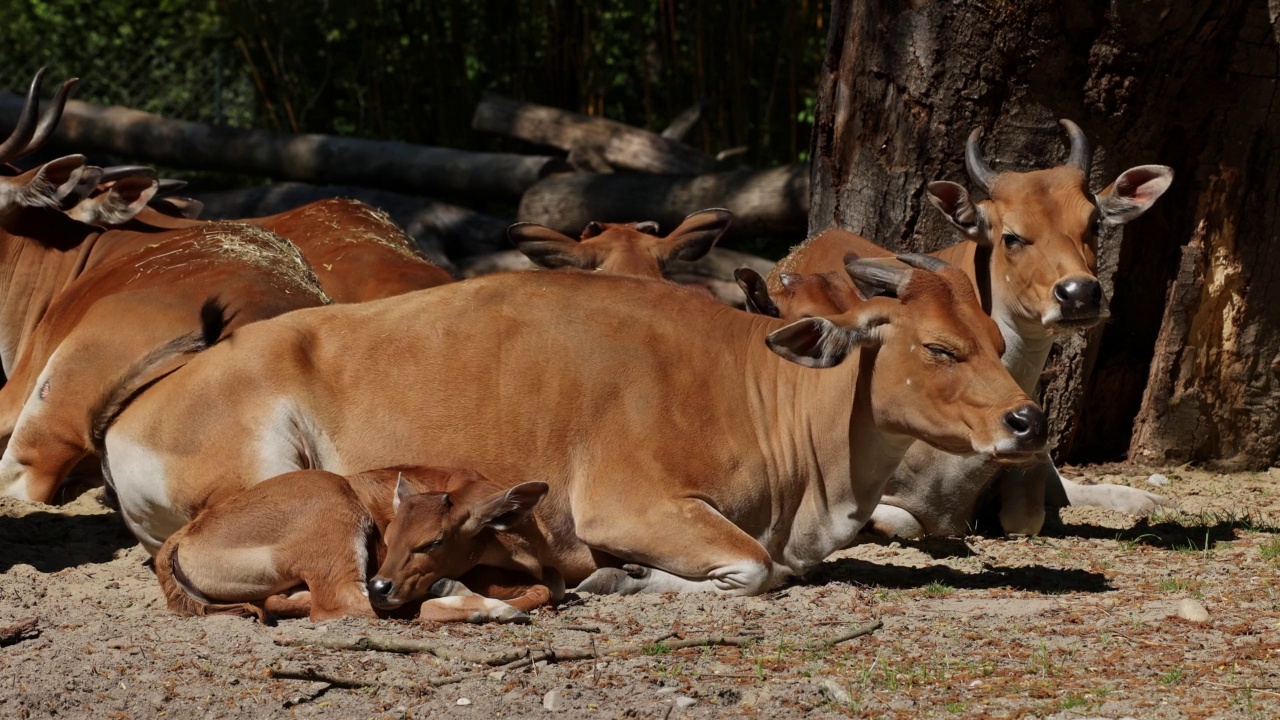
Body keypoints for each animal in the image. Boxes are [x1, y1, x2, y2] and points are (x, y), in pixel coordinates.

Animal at [97, 252, 1039, 594]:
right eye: (941, 348)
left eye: (998, 341)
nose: (1027, 420)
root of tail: (136, 408)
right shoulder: (631, 505)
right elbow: (754, 568)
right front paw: (618, 578)